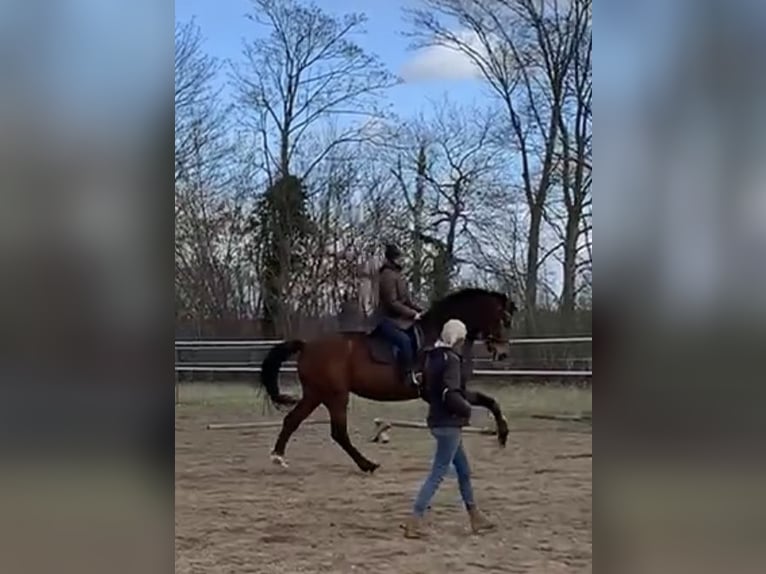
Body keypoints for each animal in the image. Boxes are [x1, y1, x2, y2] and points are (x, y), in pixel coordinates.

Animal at [260, 290, 520, 474]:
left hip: (315, 394)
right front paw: (501, 435)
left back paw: (278, 457)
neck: (441, 338)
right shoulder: (442, 392)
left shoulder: (458, 390)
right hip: (335, 395)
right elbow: (486, 403)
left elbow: (490, 401)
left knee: (292, 420)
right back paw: (367, 465)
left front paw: (502, 435)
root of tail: (307, 346)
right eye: (504, 319)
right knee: (338, 432)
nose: (503, 354)